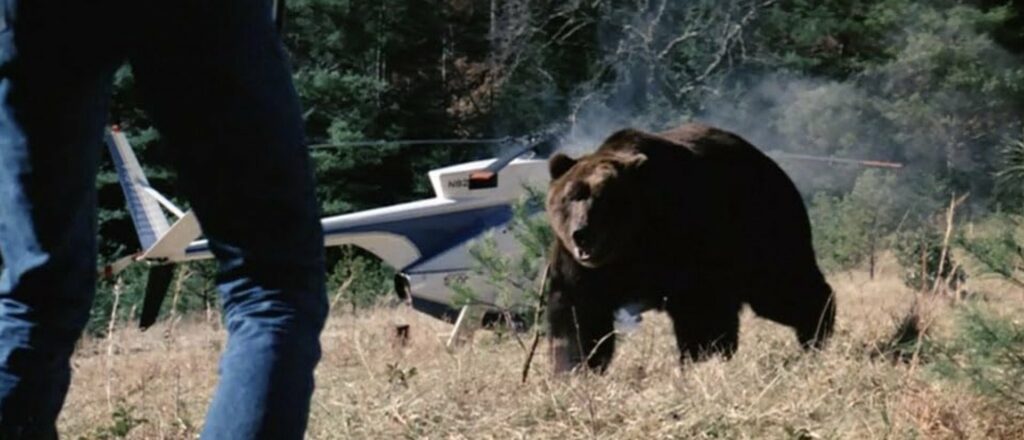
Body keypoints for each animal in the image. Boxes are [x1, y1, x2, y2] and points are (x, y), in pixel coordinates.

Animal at [545, 122, 836, 373]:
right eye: (572, 197)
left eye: (604, 200)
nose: (581, 234)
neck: (633, 242)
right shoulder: (581, 267)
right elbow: (579, 315)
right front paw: (575, 367)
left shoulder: (686, 239)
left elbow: (700, 309)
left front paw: (701, 358)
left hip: (759, 221)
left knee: (781, 286)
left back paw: (817, 331)